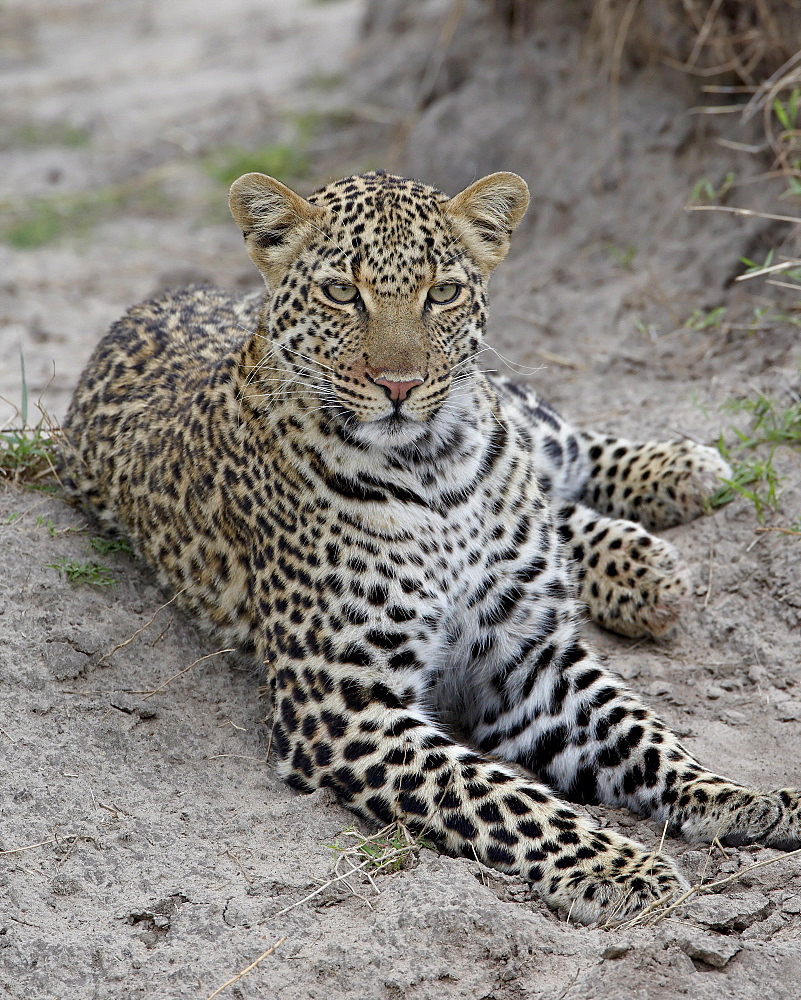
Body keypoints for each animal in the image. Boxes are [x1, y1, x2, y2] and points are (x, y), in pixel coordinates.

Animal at [61, 168, 800, 924]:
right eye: (341, 292)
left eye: (441, 292)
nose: (399, 385)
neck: (432, 469)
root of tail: (156, 300)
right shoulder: (345, 709)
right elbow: (502, 796)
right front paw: (621, 867)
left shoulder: (530, 661)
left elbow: (643, 737)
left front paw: (746, 798)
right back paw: (646, 565)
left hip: (515, 414)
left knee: (554, 449)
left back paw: (678, 481)